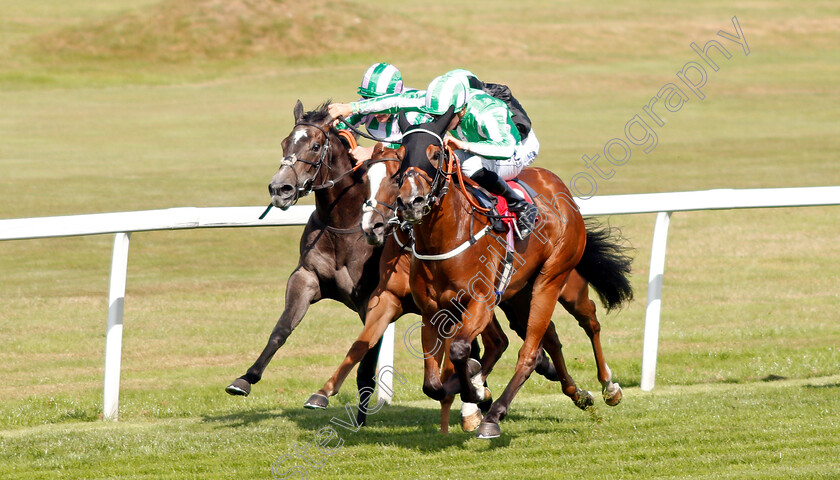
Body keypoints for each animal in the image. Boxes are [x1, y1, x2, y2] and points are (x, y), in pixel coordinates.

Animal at [392, 109, 632, 438]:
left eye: (436, 153)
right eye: (401, 154)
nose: (409, 202)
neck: (446, 237)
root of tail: (556, 184)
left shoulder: (480, 303)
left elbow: (460, 350)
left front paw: (476, 392)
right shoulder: (433, 312)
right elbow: (432, 384)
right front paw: (473, 389)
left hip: (554, 278)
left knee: (562, 335)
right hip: (519, 294)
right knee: (551, 336)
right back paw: (579, 393)